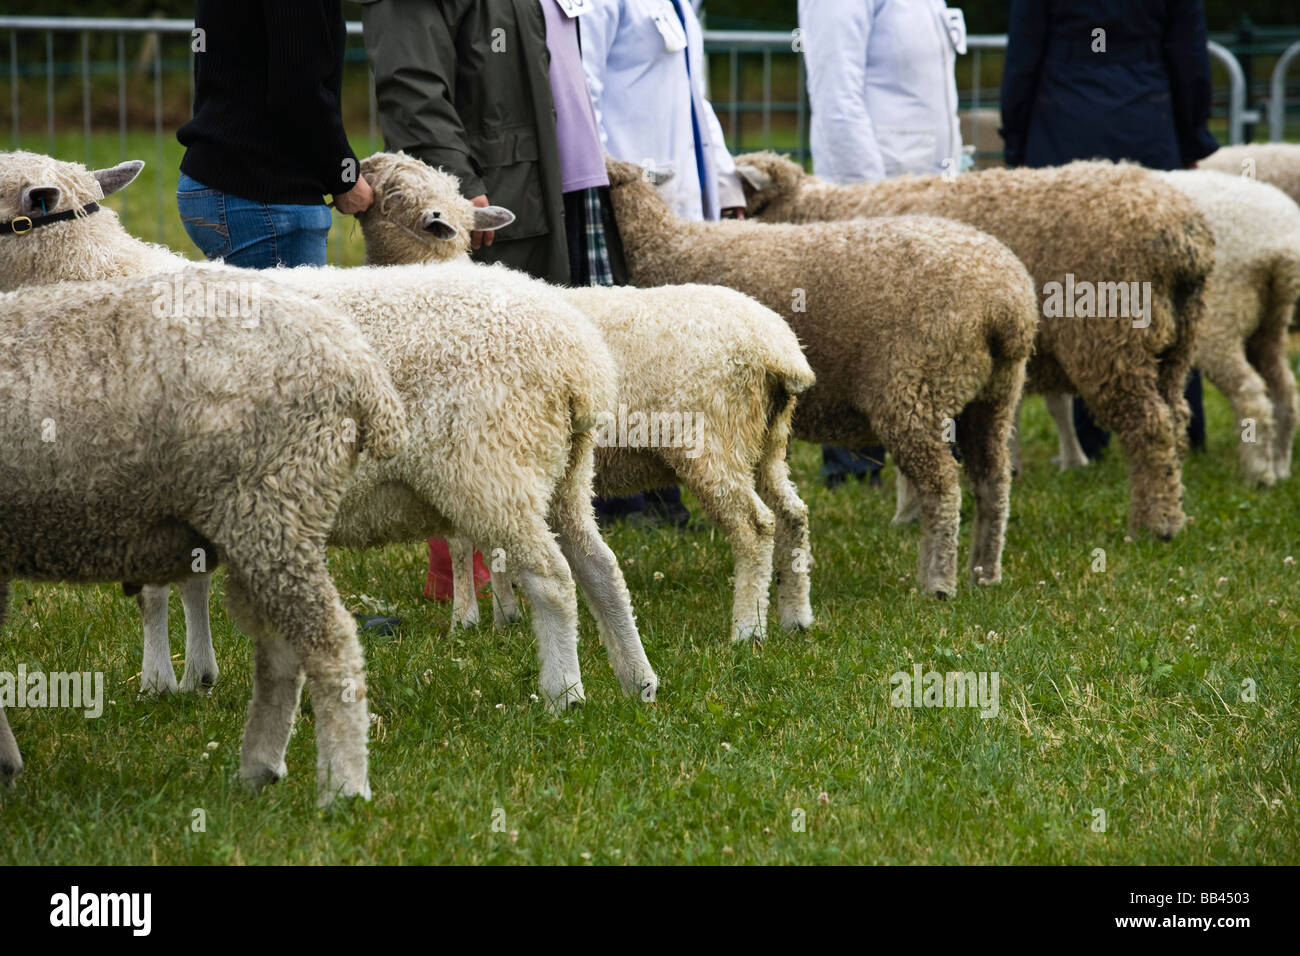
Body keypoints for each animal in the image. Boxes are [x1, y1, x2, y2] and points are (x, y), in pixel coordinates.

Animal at [0, 153, 655, 712]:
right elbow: (191, 581)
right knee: (600, 567)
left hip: (490, 468)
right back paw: (637, 681)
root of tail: (579, 361)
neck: (91, 277)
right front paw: (197, 675)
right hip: (564, 472)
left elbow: (156, 593)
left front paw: (157, 680)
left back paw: (564, 694)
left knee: (552, 579)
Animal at [0, 264, 408, 806]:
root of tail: (359, 366)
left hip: (269, 502)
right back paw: (260, 769)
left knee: (328, 640)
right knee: (280, 651)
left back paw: (343, 786)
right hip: (272, 514)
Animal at [356, 151, 816, 642]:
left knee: (755, 527)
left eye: (394, 190)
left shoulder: (455, 450)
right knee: (793, 514)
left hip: (713, 442)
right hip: (766, 442)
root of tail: (778, 348)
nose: (364, 163)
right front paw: (504, 614)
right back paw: (795, 615)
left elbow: (461, 544)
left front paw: (465, 619)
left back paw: (747, 628)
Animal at [603, 157, 1040, 598]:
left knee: (943, 487)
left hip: (915, 388)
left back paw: (938, 581)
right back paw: (984, 572)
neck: (661, 246)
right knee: (993, 481)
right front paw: (795, 562)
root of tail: (1006, 305)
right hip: (993, 396)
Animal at [728, 150, 1211, 538]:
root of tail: (1184, 236)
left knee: (1151, 427)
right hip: (1175, 345)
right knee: (1176, 419)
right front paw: (912, 514)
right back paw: (1174, 508)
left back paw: (1154, 525)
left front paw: (910, 515)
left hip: (1112, 341)